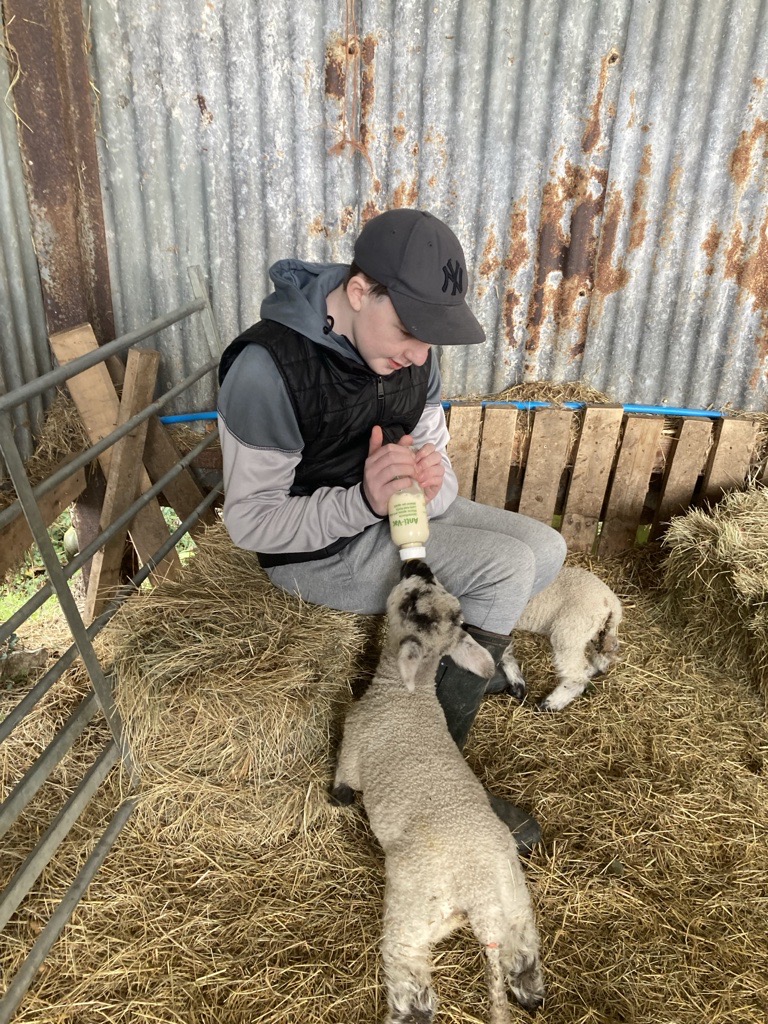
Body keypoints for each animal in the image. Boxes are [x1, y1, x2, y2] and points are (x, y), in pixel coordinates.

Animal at [331, 559, 545, 1024]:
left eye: (413, 603)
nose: (418, 563)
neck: (403, 694)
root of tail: (481, 898)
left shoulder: (352, 746)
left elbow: (342, 782)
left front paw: (335, 798)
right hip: (514, 895)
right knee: (523, 943)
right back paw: (530, 991)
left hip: (413, 915)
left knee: (408, 970)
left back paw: (407, 1013)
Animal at [498, 566, 623, 712]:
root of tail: (613, 603)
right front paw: (517, 682)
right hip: (594, 633)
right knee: (600, 658)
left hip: (570, 631)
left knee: (579, 674)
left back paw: (550, 703)